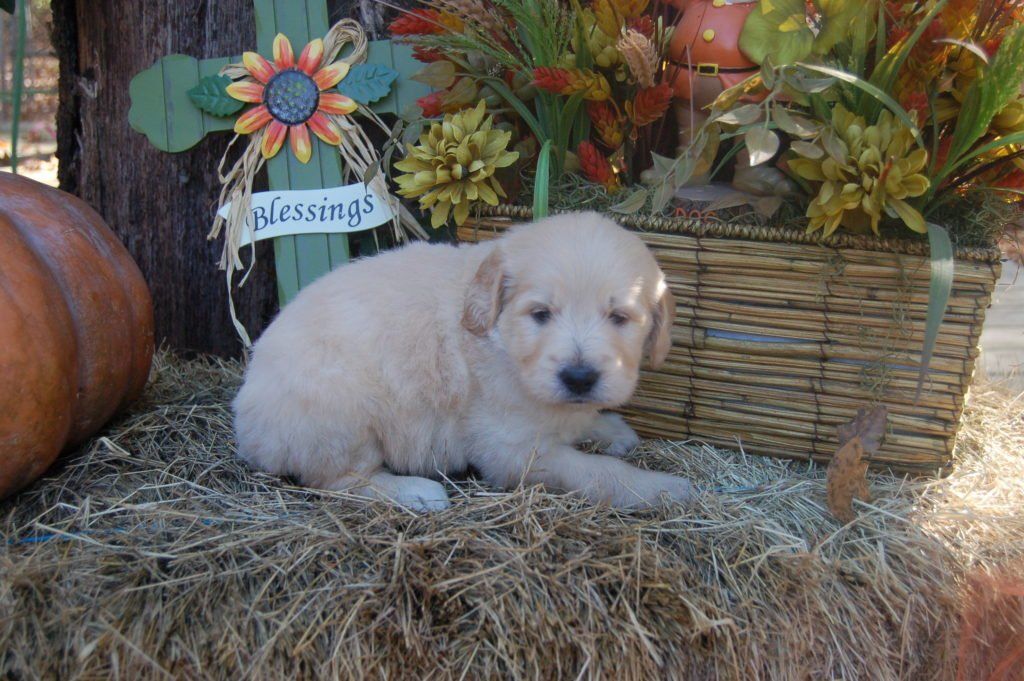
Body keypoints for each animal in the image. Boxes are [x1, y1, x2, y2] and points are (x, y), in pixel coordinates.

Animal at [233, 212, 693, 511]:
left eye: (619, 318)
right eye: (540, 314)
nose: (579, 378)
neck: (499, 343)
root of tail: (245, 425)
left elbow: (579, 423)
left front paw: (608, 428)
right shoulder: (512, 448)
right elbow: (599, 471)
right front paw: (664, 488)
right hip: (341, 413)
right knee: (339, 481)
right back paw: (416, 493)